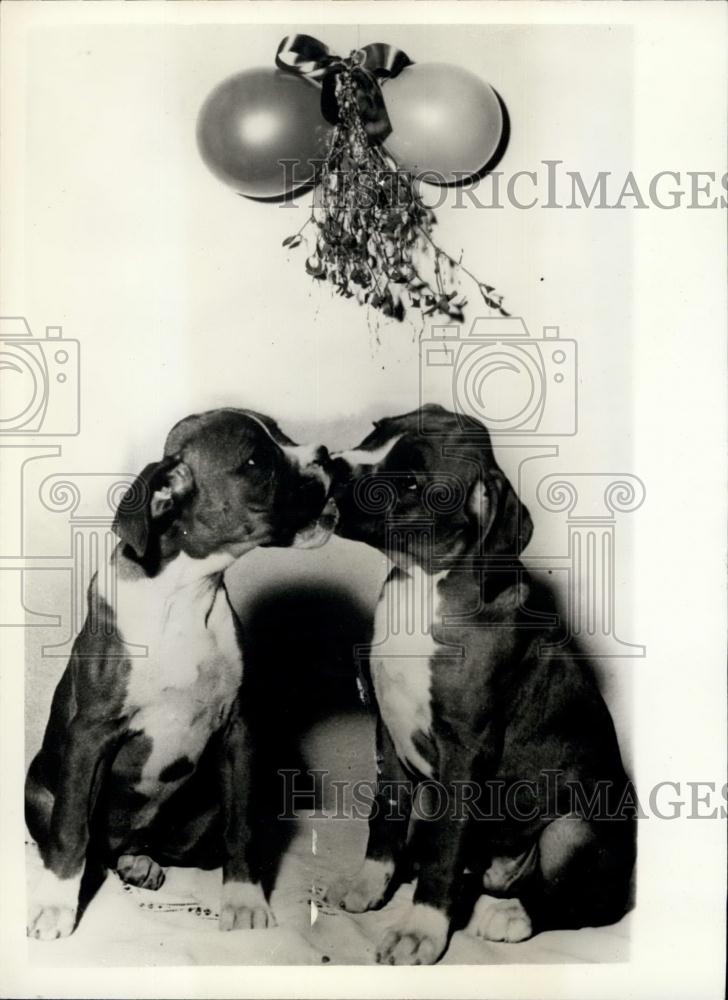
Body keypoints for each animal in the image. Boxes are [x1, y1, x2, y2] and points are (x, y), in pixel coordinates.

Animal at [24, 404, 338, 936]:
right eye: (256, 461)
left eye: (283, 435)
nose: (327, 455)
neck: (185, 593)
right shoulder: (91, 735)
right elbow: (70, 830)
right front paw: (55, 906)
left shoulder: (238, 731)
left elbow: (242, 829)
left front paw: (244, 900)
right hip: (37, 790)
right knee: (82, 843)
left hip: (202, 809)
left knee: (156, 848)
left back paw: (140, 862)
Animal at [328, 402, 636, 964]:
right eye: (375, 432)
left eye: (410, 481)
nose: (331, 464)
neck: (421, 584)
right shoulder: (387, 732)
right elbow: (386, 817)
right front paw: (369, 885)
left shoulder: (466, 750)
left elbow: (445, 848)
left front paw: (420, 929)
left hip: (573, 828)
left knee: (583, 904)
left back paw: (513, 914)